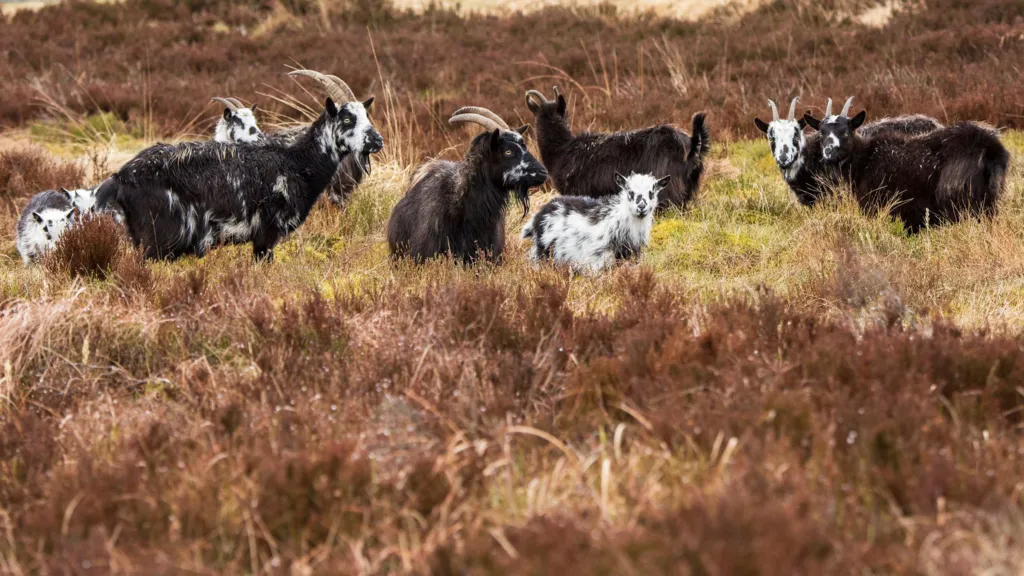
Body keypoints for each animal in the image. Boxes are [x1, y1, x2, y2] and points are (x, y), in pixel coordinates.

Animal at [95, 70, 383, 261]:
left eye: (366, 115)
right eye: (347, 119)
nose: (377, 140)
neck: (296, 161)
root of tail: (119, 178)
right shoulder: (266, 233)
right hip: (157, 239)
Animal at [521, 172, 669, 273]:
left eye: (651, 193)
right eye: (630, 192)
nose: (641, 207)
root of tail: (539, 213)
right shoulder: (596, 262)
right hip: (542, 253)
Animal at [804, 97, 1009, 232]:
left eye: (845, 132)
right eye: (821, 133)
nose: (828, 153)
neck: (865, 159)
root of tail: (990, 148)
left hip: (962, 204)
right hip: (989, 203)